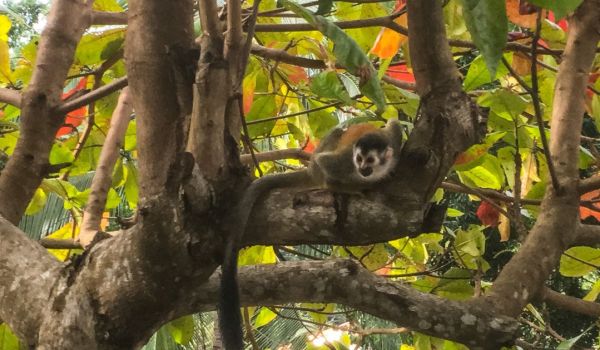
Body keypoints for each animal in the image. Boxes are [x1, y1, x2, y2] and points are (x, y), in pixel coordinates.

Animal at [220, 119, 404, 348]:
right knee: (328, 151)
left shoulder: (392, 142)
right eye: (359, 159)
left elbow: (395, 126)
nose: (363, 169)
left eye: (370, 160)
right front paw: (354, 189)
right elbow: (326, 164)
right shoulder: (345, 163)